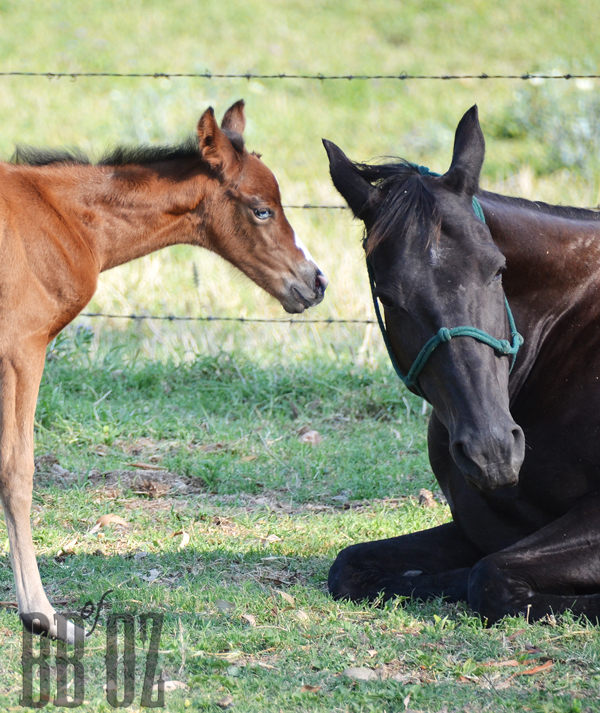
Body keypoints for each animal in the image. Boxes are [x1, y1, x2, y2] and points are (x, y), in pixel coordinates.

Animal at [0, 100, 327, 642]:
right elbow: (18, 471)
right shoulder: (22, 350)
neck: (62, 217)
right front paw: (41, 614)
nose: (315, 282)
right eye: (261, 208)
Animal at [323, 105, 600, 625]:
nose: (492, 452)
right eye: (388, 296)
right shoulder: (477, 529)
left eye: (497, 269)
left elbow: (489, 577)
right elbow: (349, 564)